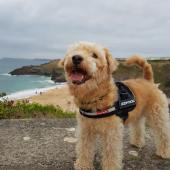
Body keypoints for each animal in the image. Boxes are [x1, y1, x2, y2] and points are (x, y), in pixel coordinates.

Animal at [58, 41, 170, 170]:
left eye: (95, 55)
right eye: (74, 51)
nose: (76, 57)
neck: (95, 98)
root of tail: (148, 81)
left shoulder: (111, 132)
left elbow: (110, 153)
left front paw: (110, 166)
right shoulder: (85, 130)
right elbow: (84, 149)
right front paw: (83, 165)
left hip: (158, 115)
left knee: (163, 133)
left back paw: (165, 152)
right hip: (137, 114)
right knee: (138, 127)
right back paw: (137, 142)